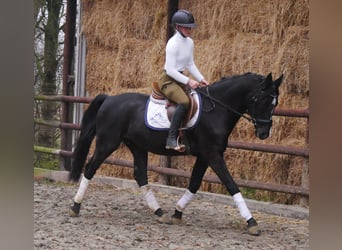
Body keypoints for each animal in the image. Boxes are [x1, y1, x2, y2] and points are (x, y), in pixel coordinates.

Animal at [69, 71, 284, 235]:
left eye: (275, 103)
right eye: (260, 99)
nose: (264, 133)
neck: (216, 110)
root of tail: (109, 99)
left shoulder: (205, 156)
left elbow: (194, 184)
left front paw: (177, 213)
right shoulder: (213, 155)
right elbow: (231, 185)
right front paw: (251, 222)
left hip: (137, 146)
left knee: (140, 176)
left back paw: (159, 213)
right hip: (107, 143)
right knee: (90, 169)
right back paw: (75, 207)